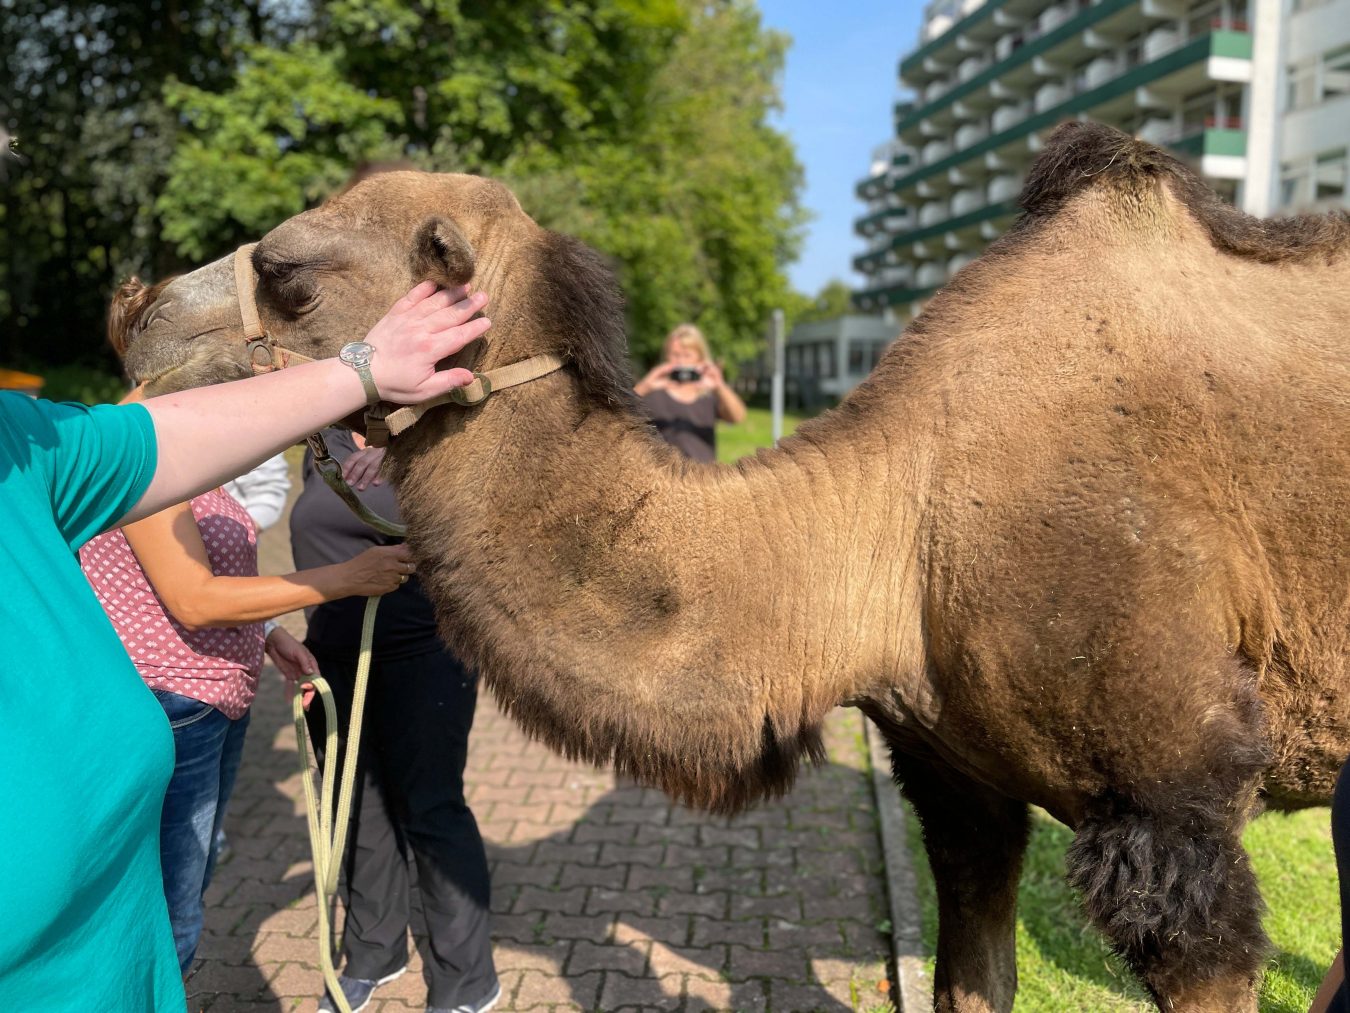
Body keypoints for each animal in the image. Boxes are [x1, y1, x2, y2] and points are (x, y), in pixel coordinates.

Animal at [108, 124, 1350, 1013]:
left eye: (291, 274)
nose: (136, 314)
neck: (898, 519)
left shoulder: (1172, 801)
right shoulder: (959, 779)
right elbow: (970, 976)